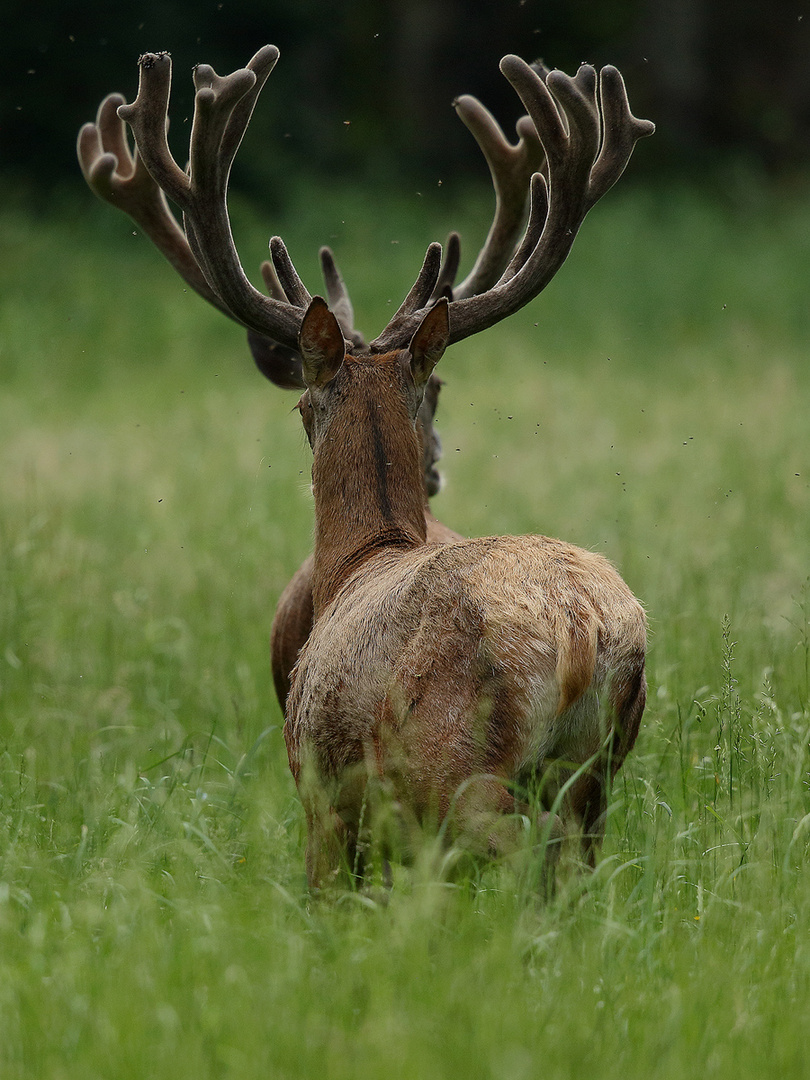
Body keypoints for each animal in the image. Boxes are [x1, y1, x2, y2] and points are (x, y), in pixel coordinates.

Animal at [79, 44, 652, 885]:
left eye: (300, 409)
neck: (362, 557)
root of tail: (582, 626)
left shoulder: (319, 792)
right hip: (602, 767)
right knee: (581, 855)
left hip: (449, 761)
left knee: (526, 839)